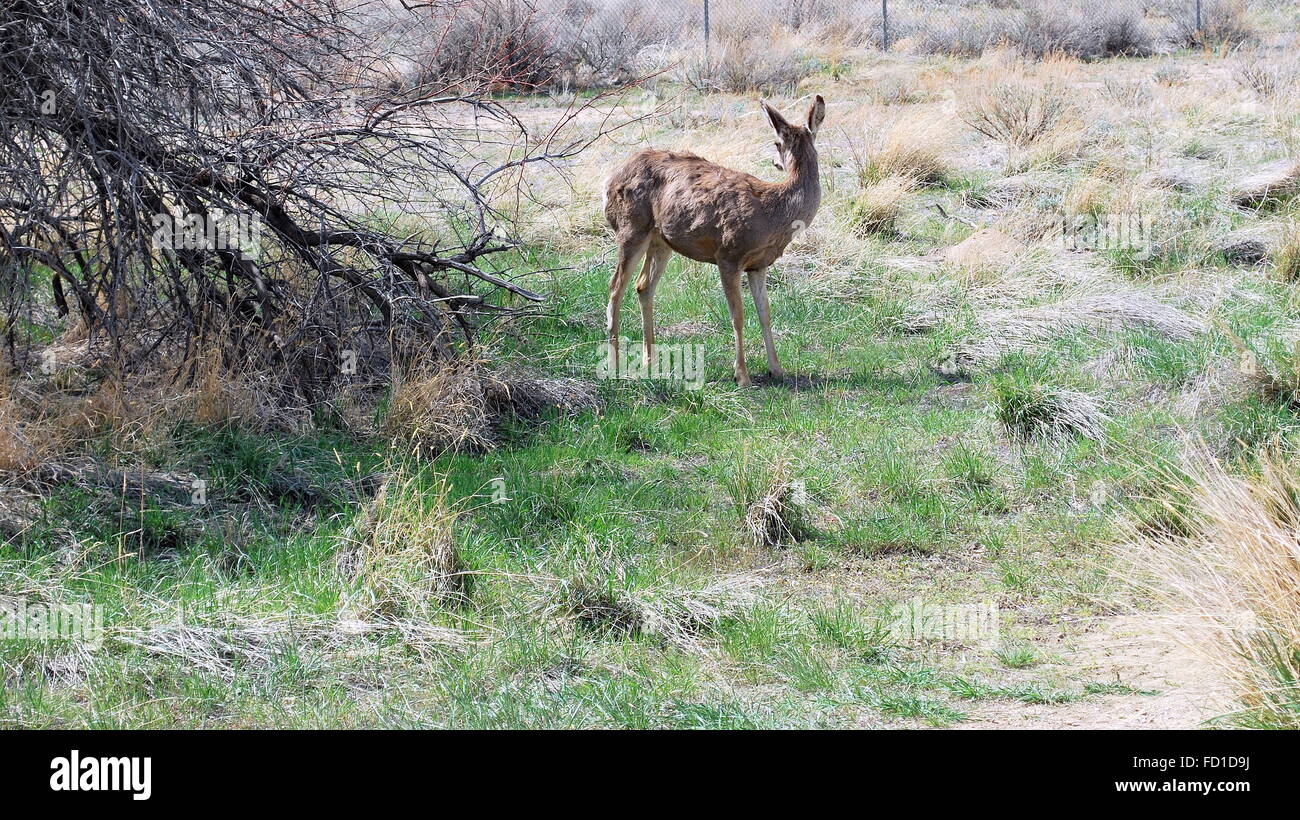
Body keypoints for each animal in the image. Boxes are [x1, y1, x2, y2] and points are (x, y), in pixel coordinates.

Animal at [603, 95, 826, 387]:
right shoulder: (729, 254)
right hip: (631, 228)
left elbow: (765, 314)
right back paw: (614, 362)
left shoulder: (759, 264)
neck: (773, 211)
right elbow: (738, 316)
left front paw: (776, 369)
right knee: (615, 287)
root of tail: (610, 181)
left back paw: (650, 360)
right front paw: (741, 376)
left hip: (661, 241)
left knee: (643, 286)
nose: (775, 162)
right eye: (777, 142)